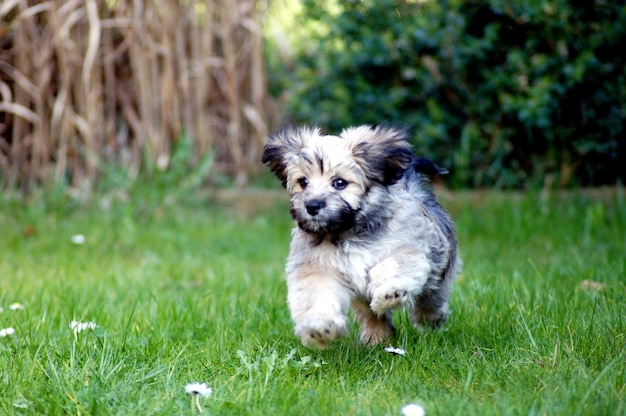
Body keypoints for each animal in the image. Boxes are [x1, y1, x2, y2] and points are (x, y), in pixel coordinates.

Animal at [258, 126, 458, 348]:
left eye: (339, 183)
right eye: (303, 182)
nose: (312, 205)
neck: (347, 231)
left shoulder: (405, 247)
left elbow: (393, 265)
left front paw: (390, 291)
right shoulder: (317, 267)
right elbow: (318, 294)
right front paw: (319, 327)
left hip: (439, 271)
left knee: (430, 300)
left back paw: (430, 322)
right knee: (373, 315)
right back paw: (377, 338)